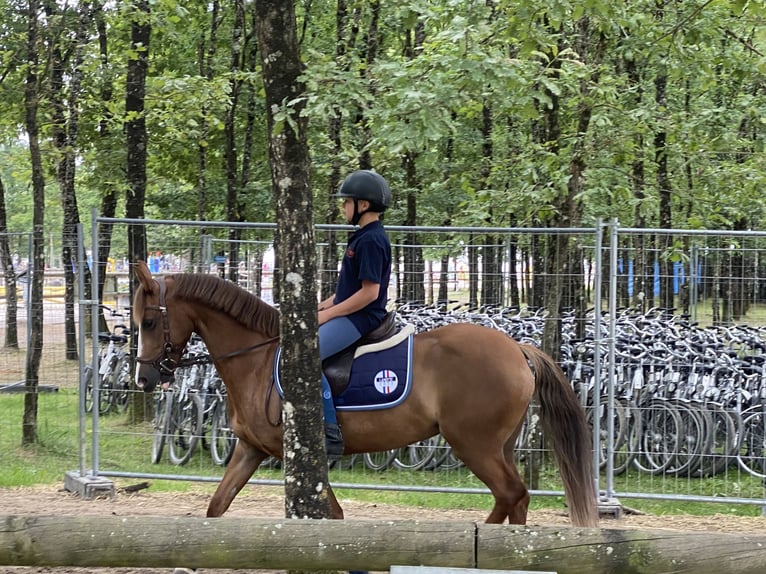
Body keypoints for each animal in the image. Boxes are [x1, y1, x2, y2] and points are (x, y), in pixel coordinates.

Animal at [132, 264, 600, 528]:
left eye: (149, 323)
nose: (144, 378)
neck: (257, 357)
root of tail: (518, 349)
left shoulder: (298, 453)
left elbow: (332, 515)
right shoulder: (251, 449)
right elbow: (216, 507)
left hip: (474, 444)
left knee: (511, 494)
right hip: (497, 445)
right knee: (515, 499)